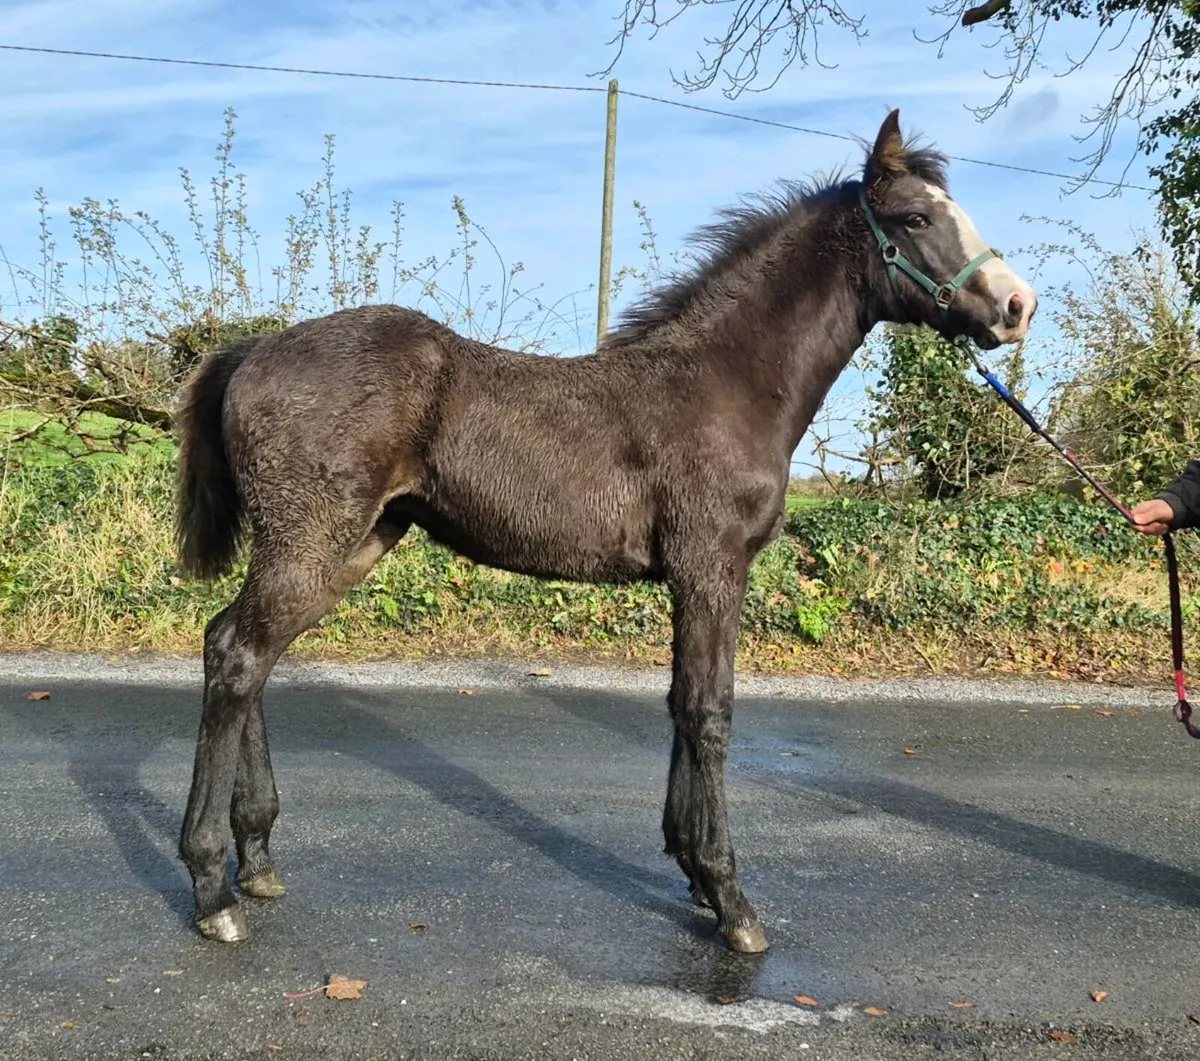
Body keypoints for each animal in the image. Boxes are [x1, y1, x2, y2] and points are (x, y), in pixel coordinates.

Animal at [173, 108, 1036, 954]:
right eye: (917, 217)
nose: (1016, 305)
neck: (724, 384)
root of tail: (254, 350)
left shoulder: (692, 577)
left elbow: (680, 703)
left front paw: (691, 872)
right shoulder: (713, 566)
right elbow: (710, 711)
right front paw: (732, 900)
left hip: (354, 543)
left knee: (242, 650)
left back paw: (258, 859)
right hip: (312, 539)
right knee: (238, 654)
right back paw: (213, 886)